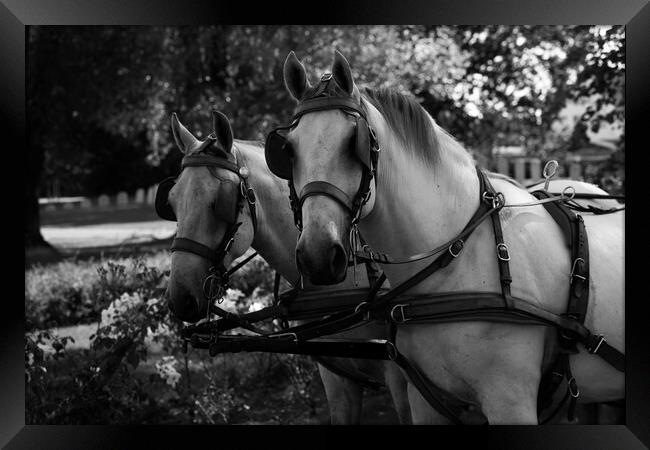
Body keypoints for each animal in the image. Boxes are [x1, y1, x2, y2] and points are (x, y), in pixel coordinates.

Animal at [276, 51, 620, 424]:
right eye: (288, 151)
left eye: (354, 144)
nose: (317, 255)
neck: (459, 260)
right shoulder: (424, 399)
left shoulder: (510, 401)